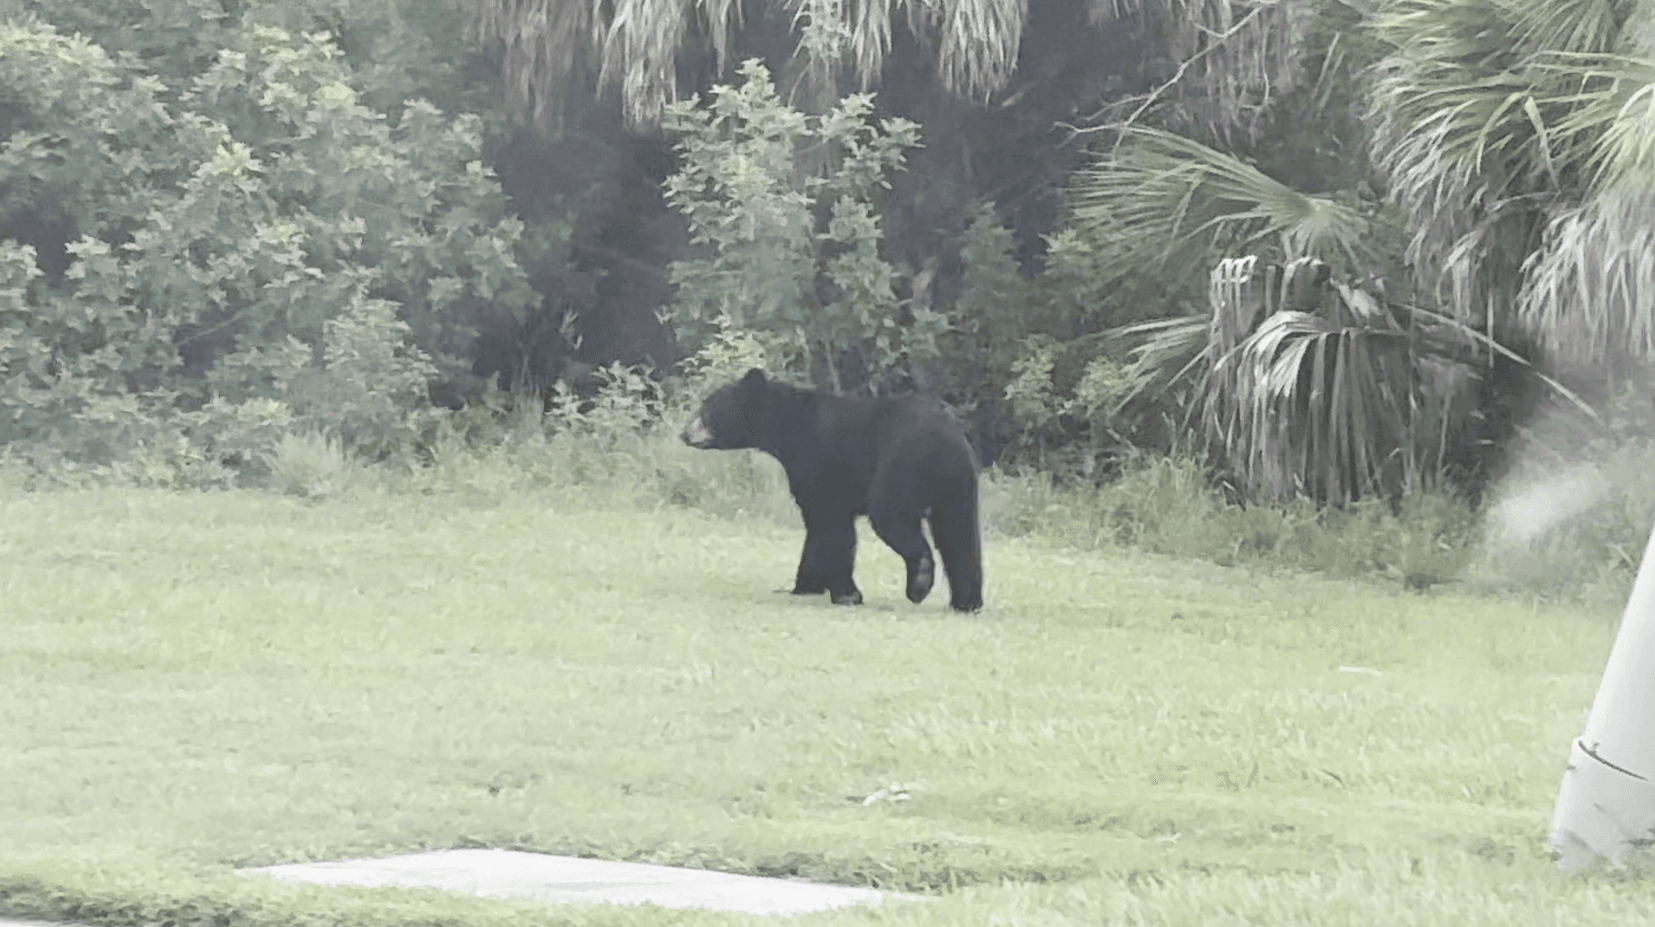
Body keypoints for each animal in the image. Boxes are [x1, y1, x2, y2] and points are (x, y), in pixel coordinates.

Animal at [680, 368, 983, 612]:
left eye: (706, 409)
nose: (684, 433)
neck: (787, 429)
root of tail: (946, 441)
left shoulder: (820, 465)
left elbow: (831, 525)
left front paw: (846, 594)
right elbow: (817, 531)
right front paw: (805, 585)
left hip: (901, 467)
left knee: (891, 515)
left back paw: (919, 582)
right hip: (958, 486)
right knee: (959, 532)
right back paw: (967, 601)